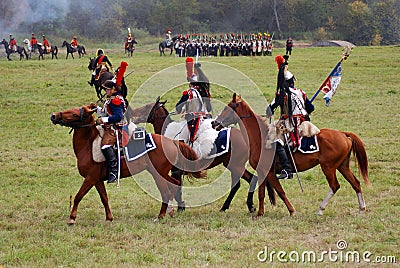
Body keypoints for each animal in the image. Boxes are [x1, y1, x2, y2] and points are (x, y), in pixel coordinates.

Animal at [50, 102, 205, 224]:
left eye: (75, 114)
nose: (54, 116)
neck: (89, 145)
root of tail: (172, 141)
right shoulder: (97, 180)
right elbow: (104, 198)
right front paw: (109, 218)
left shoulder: (90, 178)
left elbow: (78, 196)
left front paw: (72, 218)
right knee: (174, 184)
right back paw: (171, 210)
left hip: (157, 174)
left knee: (166, 192)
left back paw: (161, 216)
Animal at [130, 97, 276, 213]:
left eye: (147, 106)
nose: (133, 111)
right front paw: (180, 206)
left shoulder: (175, 170)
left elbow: (177, 188)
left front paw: (180, 207)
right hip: (233, 166)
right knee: (245, 182)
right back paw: (233, 206)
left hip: (235, 166)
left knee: (245, 182)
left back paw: (242, 206)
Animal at [214, 93, 370, 217]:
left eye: (227, 107)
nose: (215, 123)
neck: (260, 138)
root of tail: (343, 134)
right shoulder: (263, 171)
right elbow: (262, 193)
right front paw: (260, 213)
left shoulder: (269, 173)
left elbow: (280, 192)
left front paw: (292, 211)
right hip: (342, 166)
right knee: (355, 183)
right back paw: (361, 209)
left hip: (328, 167)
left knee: (335, 186)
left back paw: (320, 209)